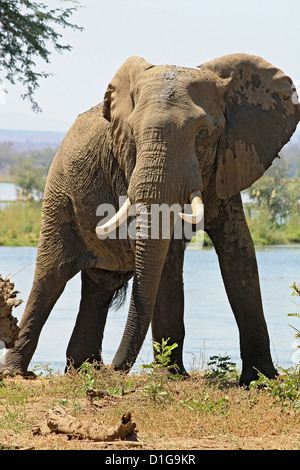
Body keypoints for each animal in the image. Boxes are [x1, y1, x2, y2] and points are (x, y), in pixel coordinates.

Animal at [1, 54, 298, 386]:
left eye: (203, 135)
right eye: (132, 133)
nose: (116, 369)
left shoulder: (230, 160)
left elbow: (240, 253)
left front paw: (260, 380)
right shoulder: (126, 167)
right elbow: (168, 256)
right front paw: (172, 376)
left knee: (99, 287)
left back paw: (84, 371)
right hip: (58, 195)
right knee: (50, 277)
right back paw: (17, 373)